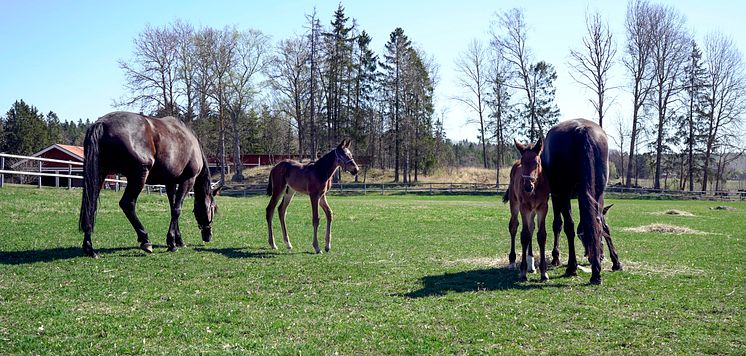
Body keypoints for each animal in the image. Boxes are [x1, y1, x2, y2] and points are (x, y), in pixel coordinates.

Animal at [78, 111, 218, 256]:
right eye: (213, 208)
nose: (208, 236)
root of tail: (102, 123)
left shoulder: (170, 183)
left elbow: (173, 208)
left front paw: (178, 240)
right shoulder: (187, 180)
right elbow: (177, 209)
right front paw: (172, 243)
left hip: (100, 174)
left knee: (91, 206)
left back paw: (89, 247)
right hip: (138, 176)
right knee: (127, 204)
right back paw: (145, 240)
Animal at [536, 118, 620, 286]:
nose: (597, 255)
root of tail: (582, 131)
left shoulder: (557, 196)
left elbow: (558, 225)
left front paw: (556, 257)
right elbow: (605, 227)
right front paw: (615, 261)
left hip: (563, 195)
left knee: (569, 227)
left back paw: (572, 267)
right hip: (598, 192)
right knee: (598, 222)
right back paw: (597, 272)